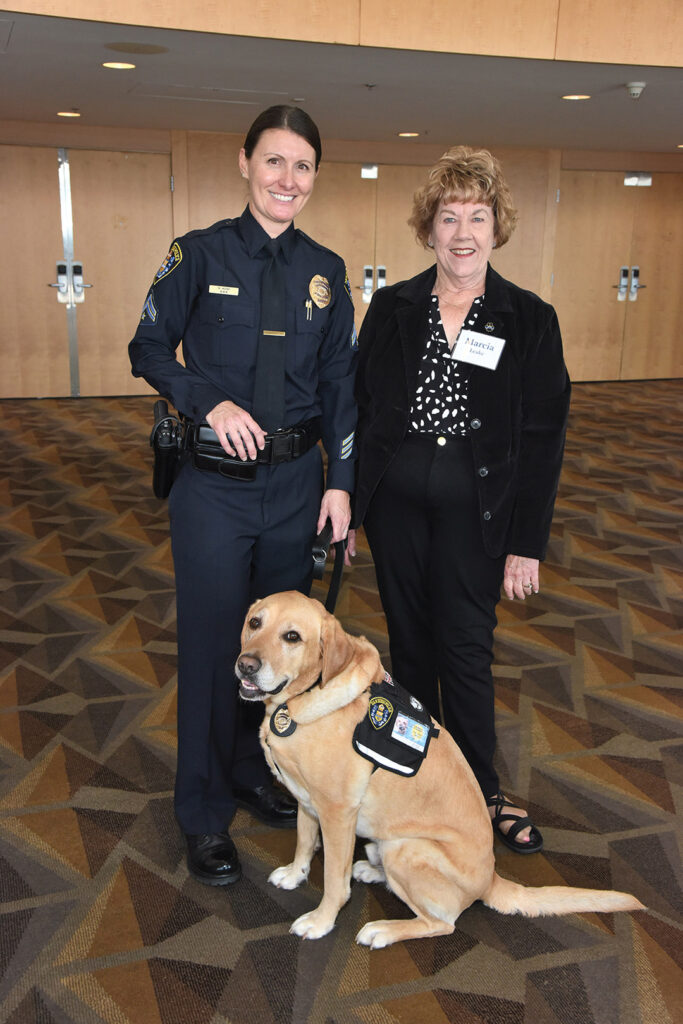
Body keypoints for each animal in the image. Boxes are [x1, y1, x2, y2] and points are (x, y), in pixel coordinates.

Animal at [236, 593, 647, 950]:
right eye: (255, 623)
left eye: (292, 636)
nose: (246, 665)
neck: (295, 703)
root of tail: (491, 880)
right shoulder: (306, 802)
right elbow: (305, 842)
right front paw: (295, 874)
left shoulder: (337, 813)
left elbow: (334, 882)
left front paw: (321, 921)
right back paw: (371, 870)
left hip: (407, 849)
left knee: (442, 923)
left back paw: (384, 929)